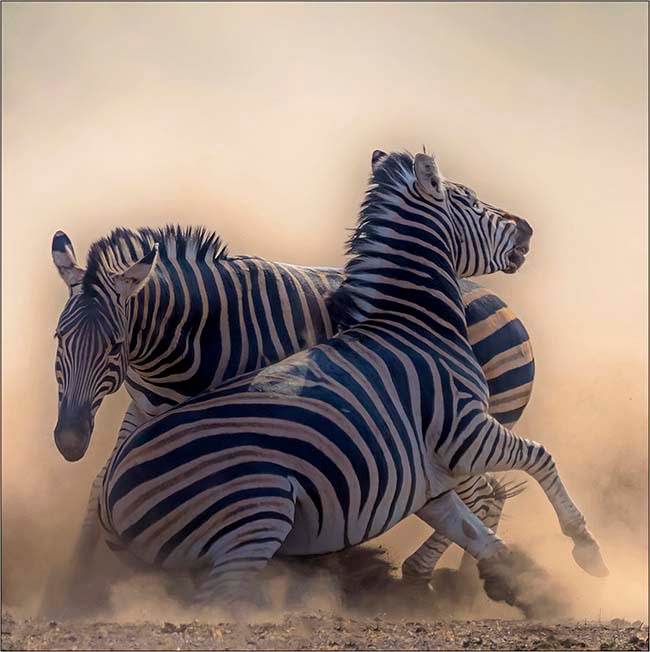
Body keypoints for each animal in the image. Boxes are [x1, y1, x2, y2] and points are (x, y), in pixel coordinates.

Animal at [95, 149, 607, 612]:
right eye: (468, 198)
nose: (527, 228)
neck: (415, 321)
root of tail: (111, 492)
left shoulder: (429, 474)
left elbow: (474, 528)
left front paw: (521, 586)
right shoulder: (465, 431)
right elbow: (540, 458)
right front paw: (585, 548)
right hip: (260, 504)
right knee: (217, 603)